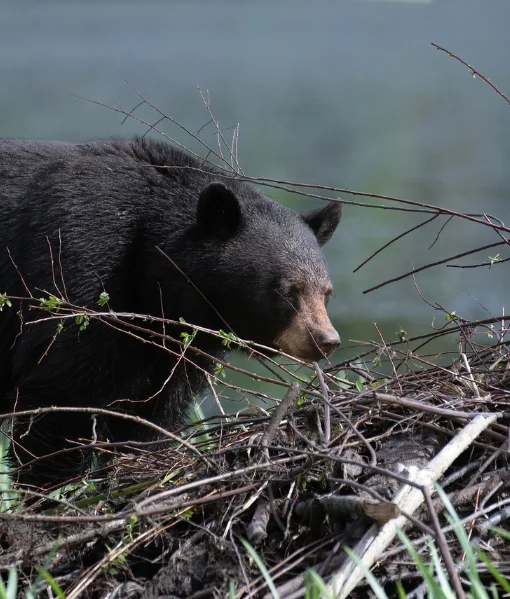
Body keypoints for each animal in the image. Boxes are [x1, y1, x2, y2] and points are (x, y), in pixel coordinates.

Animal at [0, 137, 342, 488]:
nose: (325, 340)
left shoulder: (175, 349)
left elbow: (155, 413)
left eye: (326, 292)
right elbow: (60, 397)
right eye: (288, 290)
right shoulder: (78, 266)